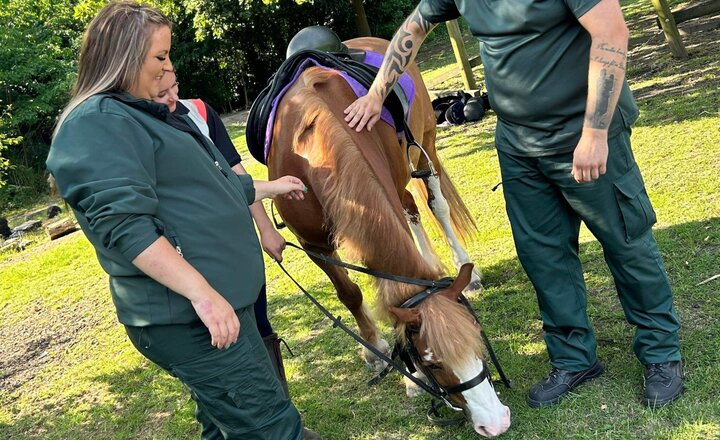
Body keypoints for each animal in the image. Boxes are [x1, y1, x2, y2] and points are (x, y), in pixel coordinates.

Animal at [268, 37, 510, 436]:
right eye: (432, 361)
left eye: (478, 336)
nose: (497, 421)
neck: (311, 144)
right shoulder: (313, 245)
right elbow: (349, 293)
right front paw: (376, 350)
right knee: (412, 207)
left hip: (424, 145)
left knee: (436, 204)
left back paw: (466, 269)